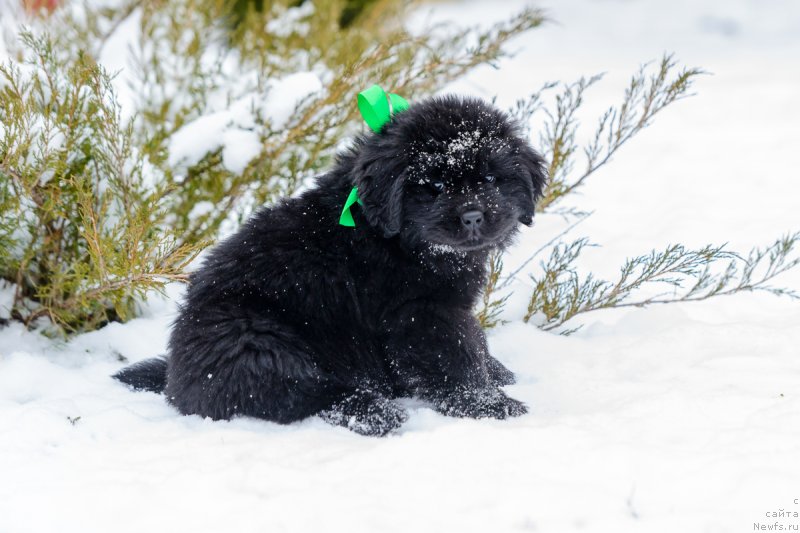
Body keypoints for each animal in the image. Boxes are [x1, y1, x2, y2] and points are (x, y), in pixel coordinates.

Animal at [112, 93, 548, 434]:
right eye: (436, 185)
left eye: (490, 179)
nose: (473, 217)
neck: (396, 239)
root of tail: (176, 377)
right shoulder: (421, 312)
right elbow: (455, 357)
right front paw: (492, 405)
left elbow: (474, 343)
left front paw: (499, 374)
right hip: (254, 341)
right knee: (301, 395)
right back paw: (374, 413)